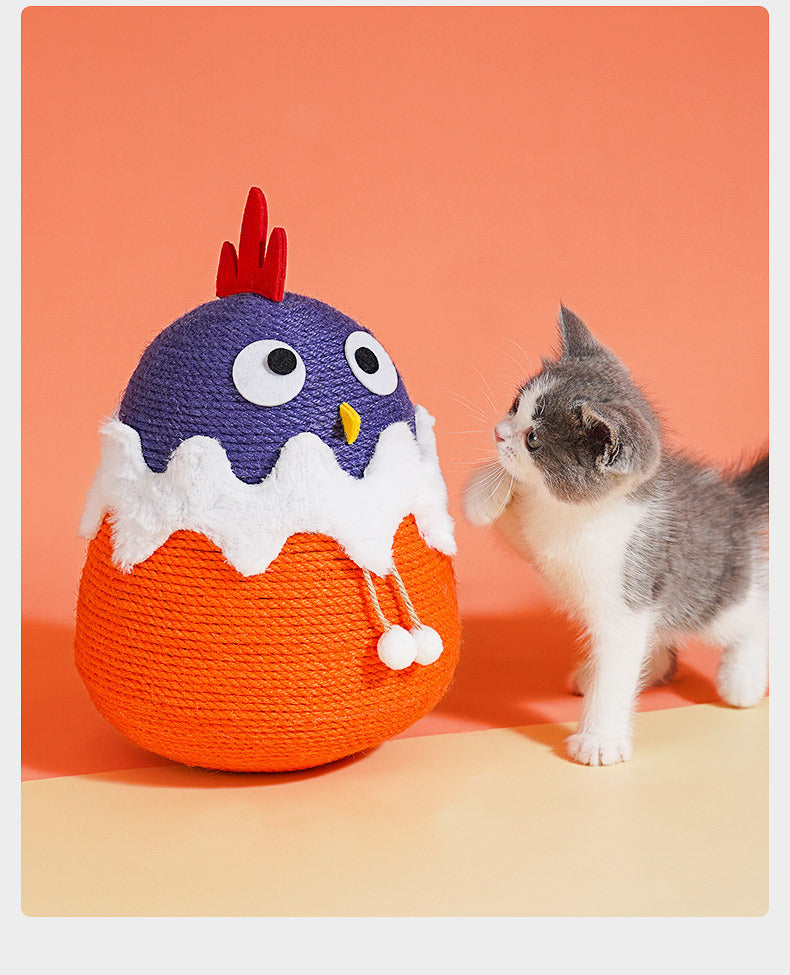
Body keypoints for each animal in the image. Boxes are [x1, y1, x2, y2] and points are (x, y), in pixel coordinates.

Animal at [468, 308, 772, 768]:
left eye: (533, 438)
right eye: (515, 406)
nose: (498, 433)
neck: (579, 515)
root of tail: (735, 499)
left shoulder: (628, 587)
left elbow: (617, 666)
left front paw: (598, 739)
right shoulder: (543, 540)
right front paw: (482, 493)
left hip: (708, 595)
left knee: (754, 615)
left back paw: (743, 678)